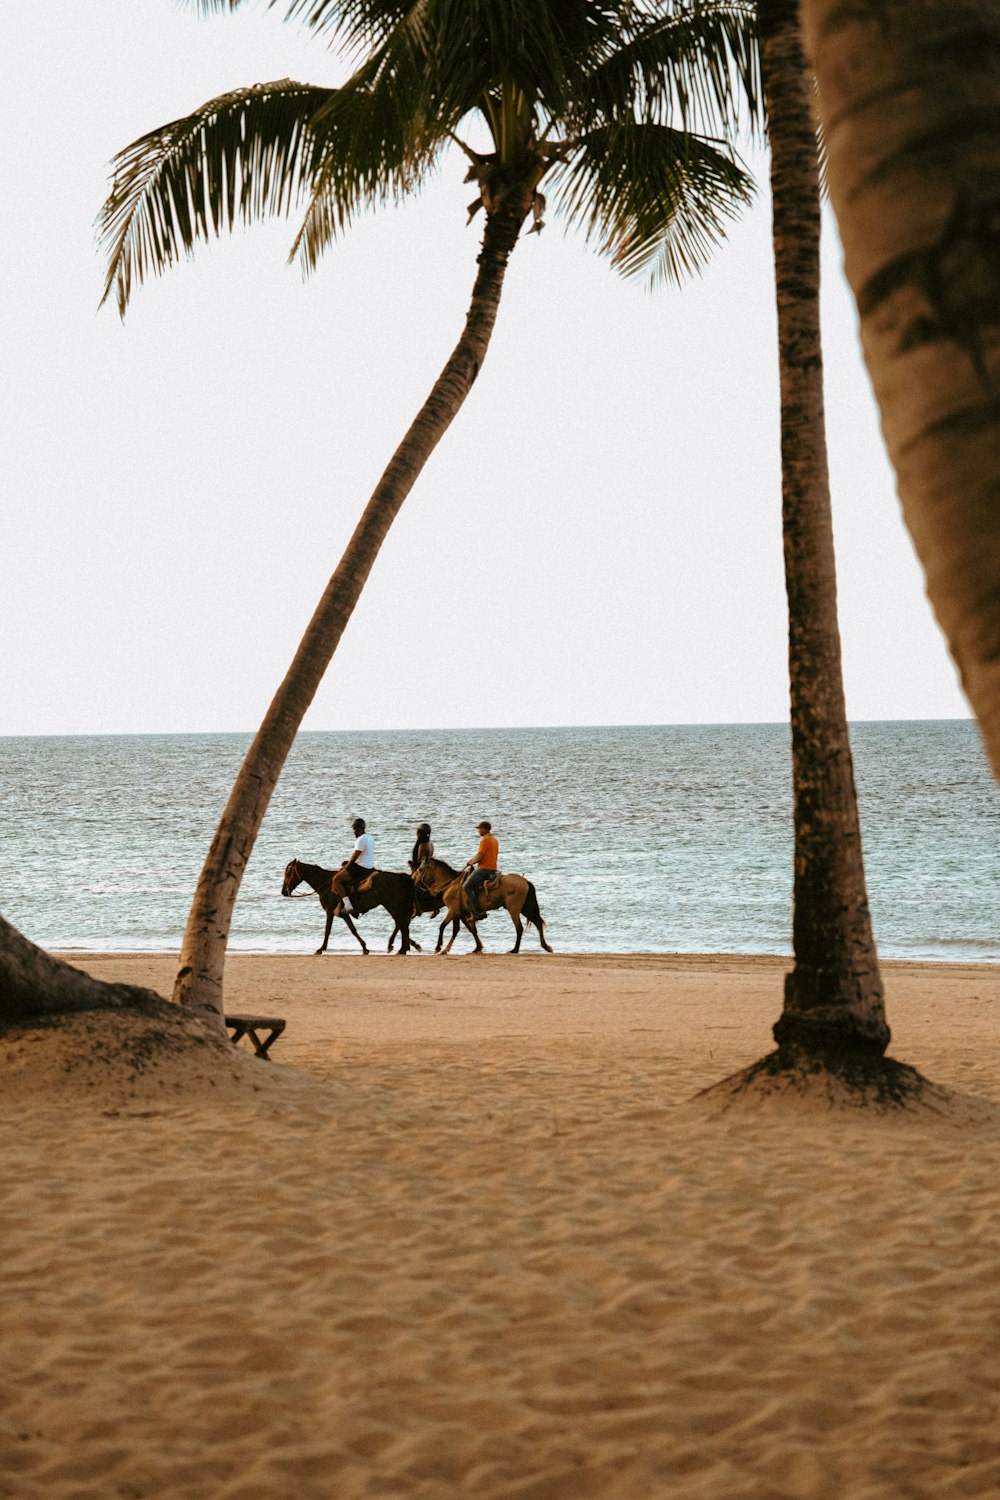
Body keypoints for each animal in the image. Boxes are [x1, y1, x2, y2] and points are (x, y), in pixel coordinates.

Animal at [280, 864, 419, 954]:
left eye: (288, 873)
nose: (283, 892)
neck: (326, 884)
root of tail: (400, 877)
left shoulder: (329, 911)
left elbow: (327, 930)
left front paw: (321, 949)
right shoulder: (343, 914)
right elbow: (353, 930)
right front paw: (364, 947)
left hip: (392, 905)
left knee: (401, 923)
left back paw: (402, 948)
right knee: (402, 924)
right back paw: (404, 947)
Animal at [413, 864, 554, 954]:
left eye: (420, 869)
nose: (413, 881)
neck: (452, 884)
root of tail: (526, 881)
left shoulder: (453, 911)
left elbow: (443, 927)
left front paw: (439, 947)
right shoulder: (461, 913)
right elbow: (471, 930)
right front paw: (477, 948)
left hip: (514, 909)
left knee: (519, 928)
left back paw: (515, 949)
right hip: (526, 908)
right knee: (537, 922)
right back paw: (546, 946)